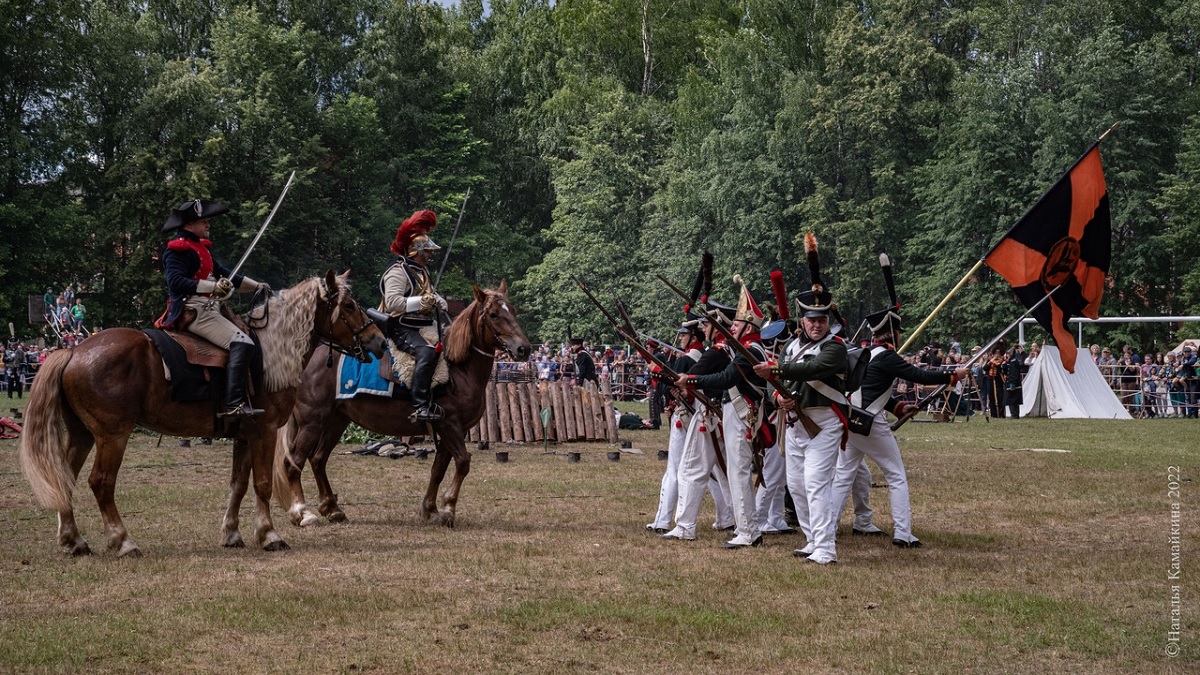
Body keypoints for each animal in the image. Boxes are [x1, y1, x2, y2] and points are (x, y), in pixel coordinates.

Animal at [18, 269, 384, 557]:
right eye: (348, 306)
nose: (379, 341)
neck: (270, 353)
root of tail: (73, 350)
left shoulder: (244, 435)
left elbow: (238, 484)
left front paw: (233, 533)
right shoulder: (264, 431)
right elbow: (263, 483)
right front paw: (269, 535)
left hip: (82, 433)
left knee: (65, 478)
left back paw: (74, 541)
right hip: (112, 435)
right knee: (101, 482)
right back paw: (123, 541)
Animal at [276, 278, 530, 526]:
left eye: (513, 311)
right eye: (494, 314)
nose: (524, 348)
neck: (459, 368)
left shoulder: (447, 430)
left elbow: (438, 469)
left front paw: (430, 509)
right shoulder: (450, 425)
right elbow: (463, 462)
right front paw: (448, 509)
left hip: (336, 421)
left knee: (318, 459)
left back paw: (333, 509)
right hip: (313, 421)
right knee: (294, 462)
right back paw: (303, 514)